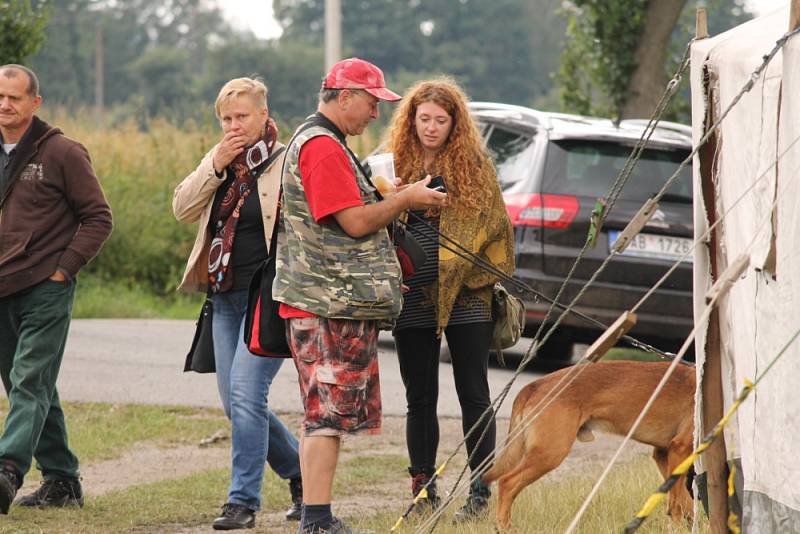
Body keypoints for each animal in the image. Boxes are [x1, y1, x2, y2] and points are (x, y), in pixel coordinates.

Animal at [482, 360, 692, 532]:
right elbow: (678, 502)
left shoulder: (663, 454)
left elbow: (683, 498)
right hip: (550, 453)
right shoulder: (679, 450)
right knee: (507, 482)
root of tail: (533, 385)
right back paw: (504, 527)